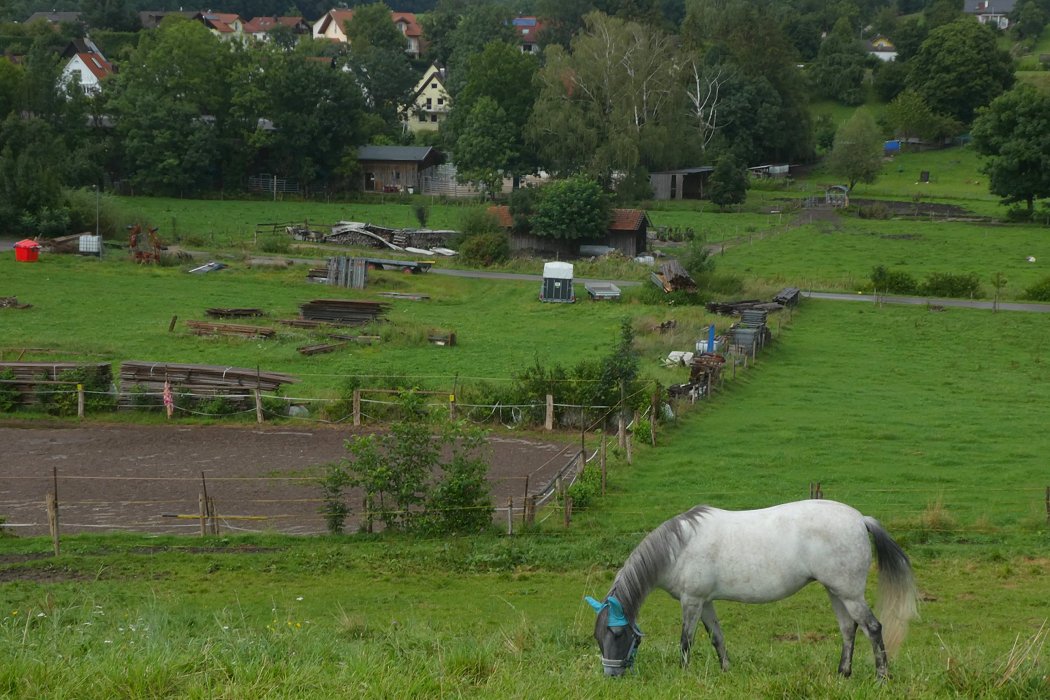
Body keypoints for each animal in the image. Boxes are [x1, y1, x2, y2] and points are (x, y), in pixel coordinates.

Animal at [588, 501, 915, 680]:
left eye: (617, 634)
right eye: (597, 637)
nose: (611, 675)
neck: (677, 547)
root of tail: (861, 520)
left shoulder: (691, 601)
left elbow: (686, 640)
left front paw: (683, 673)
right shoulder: (705, 602)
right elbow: (717, 637)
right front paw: (725, 671)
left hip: (849, 594)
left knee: (873, 628)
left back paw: (881, 677)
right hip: (836, 592)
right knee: (849, 629)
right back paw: (842, 674)